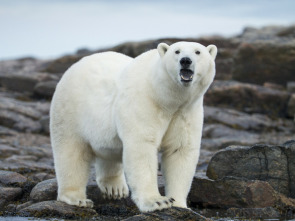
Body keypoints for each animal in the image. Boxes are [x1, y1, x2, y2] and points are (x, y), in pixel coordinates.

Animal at [50, 41, 217, 212]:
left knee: (108, 151)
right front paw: (157, 201)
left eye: (198, 52)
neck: (165, 96)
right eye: (176, 51)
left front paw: (179, 204)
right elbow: (142, 147)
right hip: (70, 111)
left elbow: (180, 150)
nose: (185, 61)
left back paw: (114, 188)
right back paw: (77, 198)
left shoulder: (186, 112)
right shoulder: (144, 102)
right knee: (71, 152)